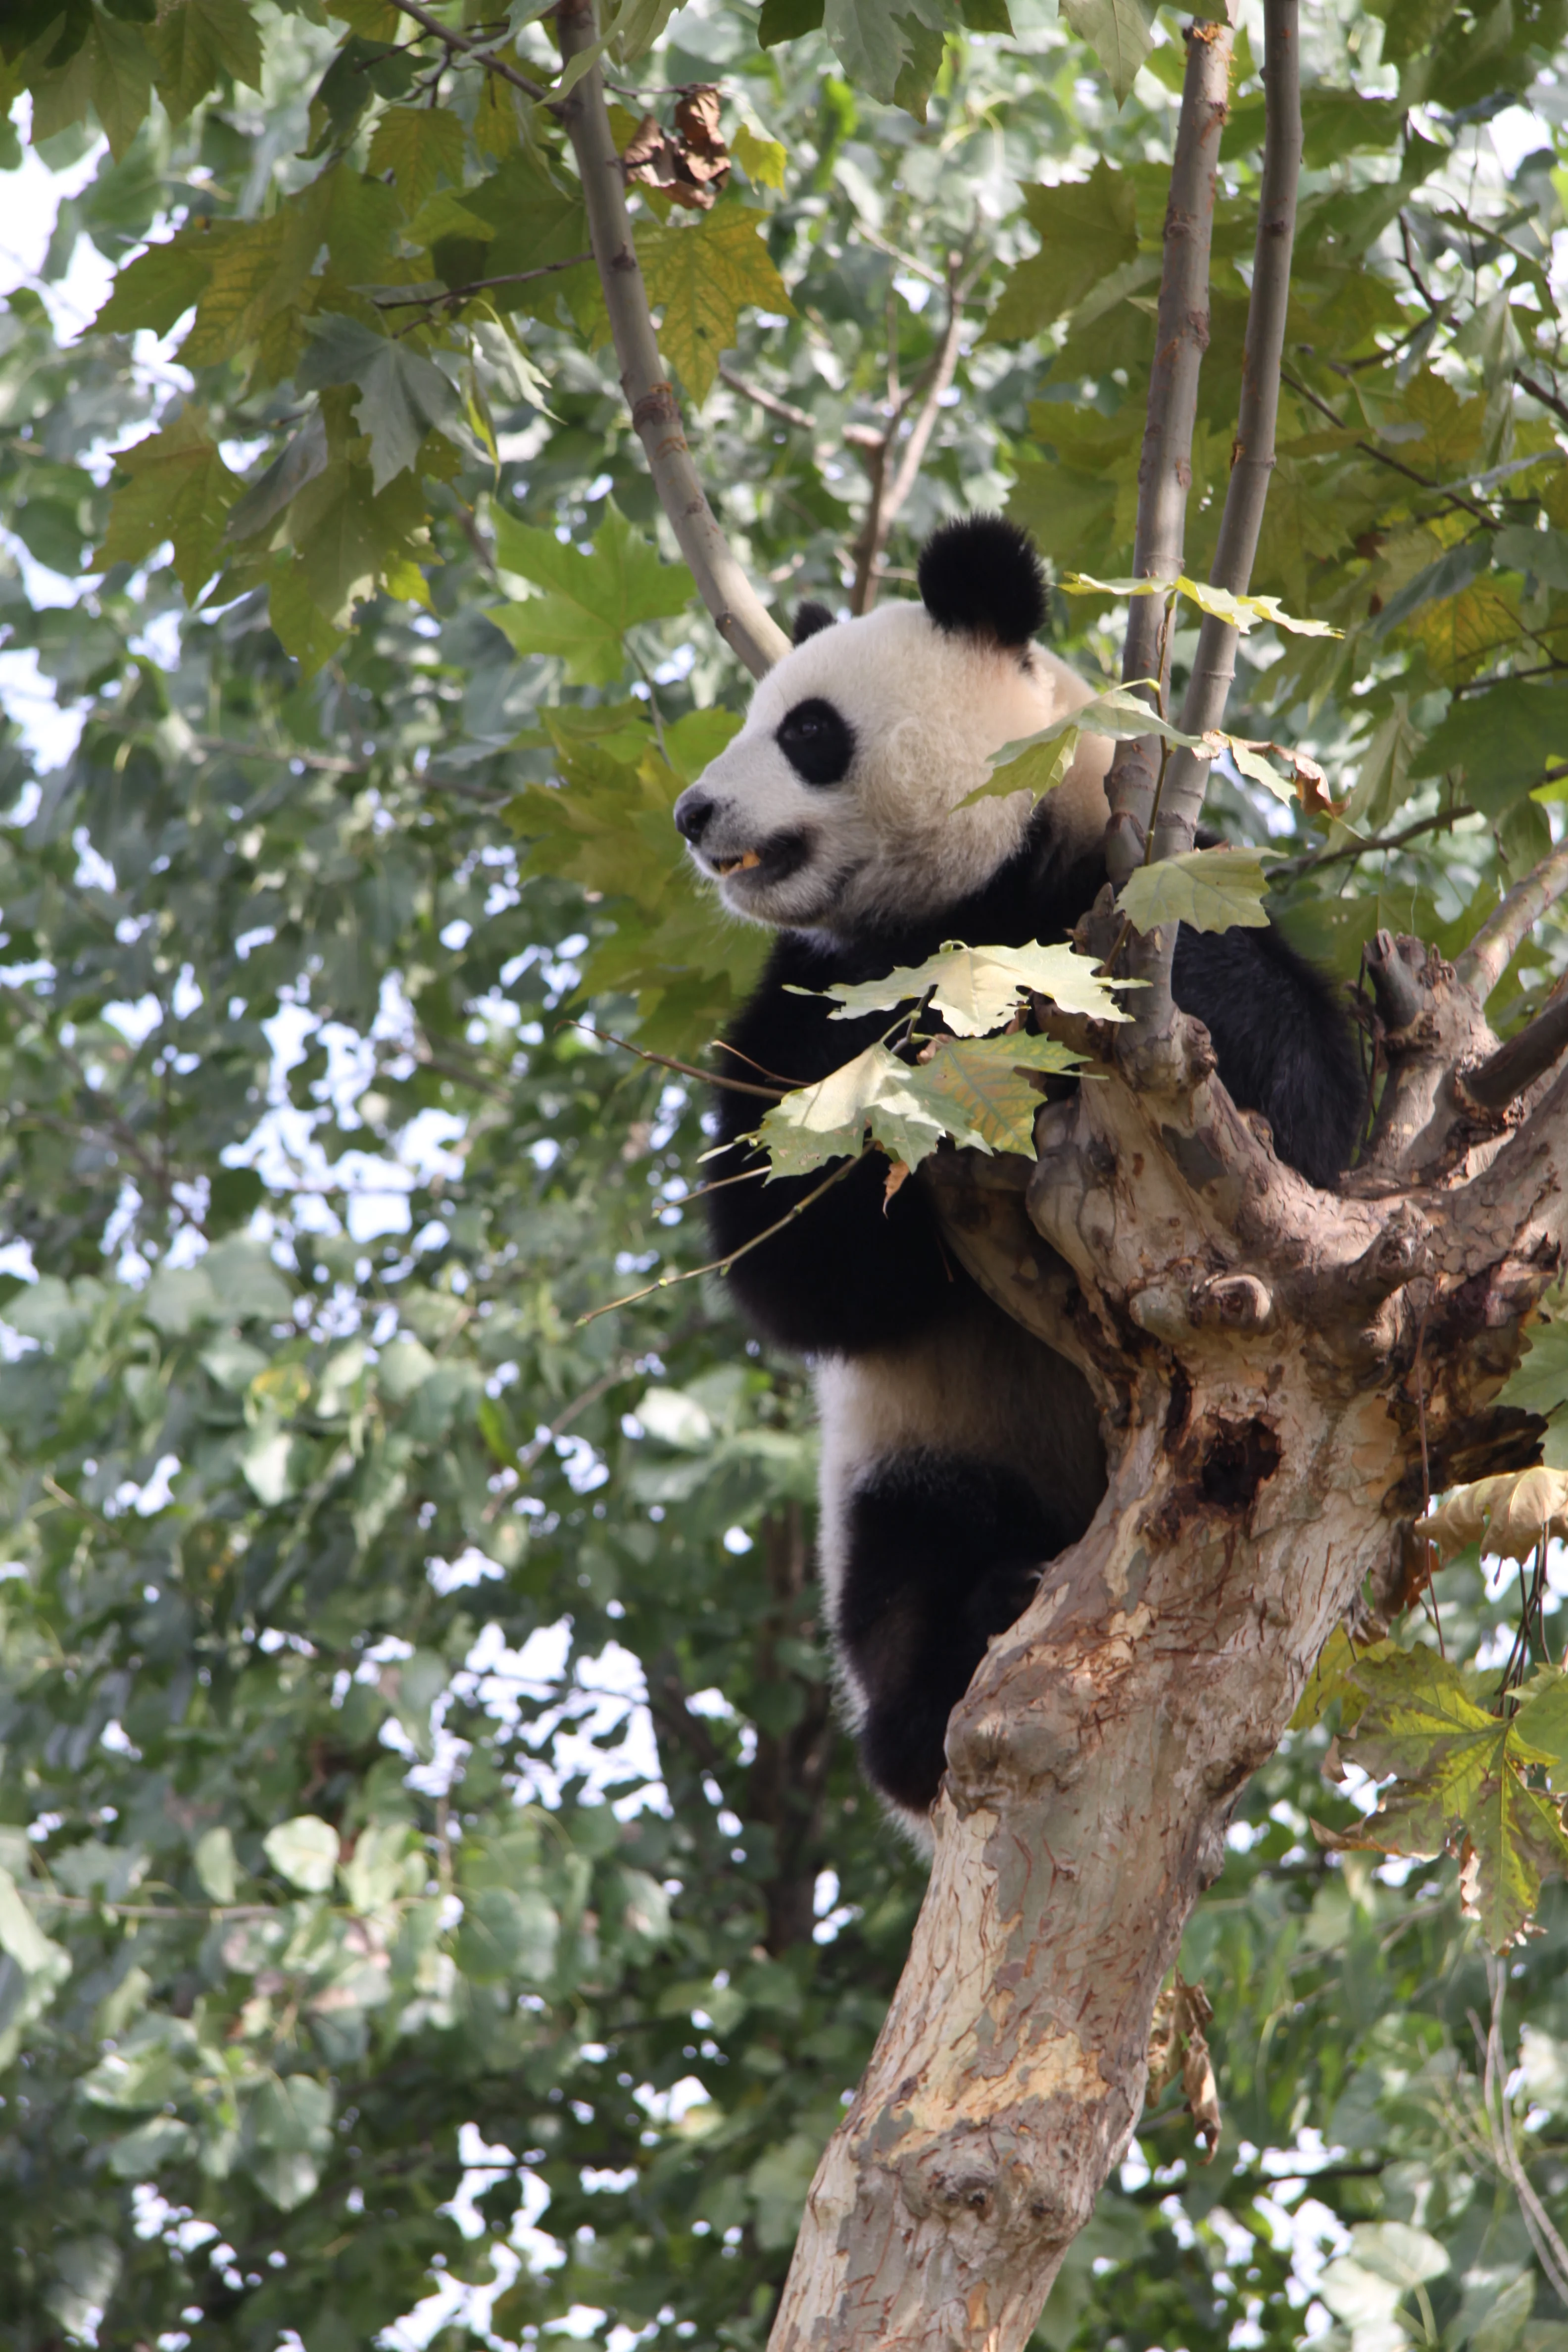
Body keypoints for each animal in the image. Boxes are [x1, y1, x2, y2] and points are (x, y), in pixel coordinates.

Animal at [671, 515, 1362, 1839]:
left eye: (807, 730)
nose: (694, 809)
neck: (971, 908)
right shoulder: (820, 990)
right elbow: (796, 1264)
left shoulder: (1133, 875)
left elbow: (1305, 1121)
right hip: (926, 1445)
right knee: (906, 1563)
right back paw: (939, 1686)